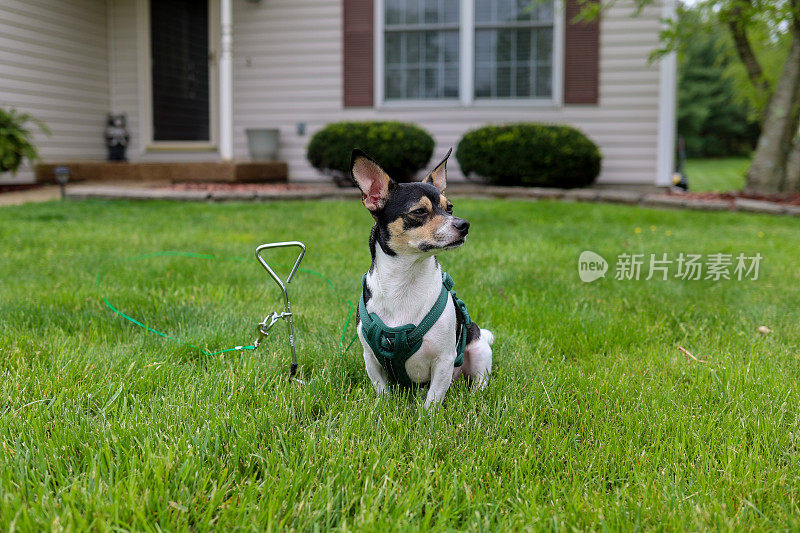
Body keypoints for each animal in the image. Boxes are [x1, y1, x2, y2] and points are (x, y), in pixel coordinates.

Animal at [352, 148, 494, 410]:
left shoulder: (444, 360)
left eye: (449, 208)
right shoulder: (371, 359)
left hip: (479, 350)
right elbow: (381, 390)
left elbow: (434, 397)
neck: (405, 280)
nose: (464, 224)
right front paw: (383, 410)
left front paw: (428, 417)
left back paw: (476, 398)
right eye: (419, 211)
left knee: (479, 382)